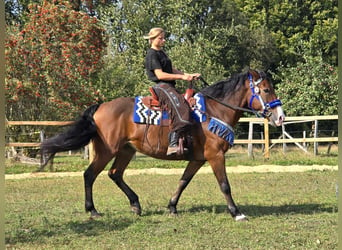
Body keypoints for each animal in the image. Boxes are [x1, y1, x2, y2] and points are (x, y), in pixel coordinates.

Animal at [41, 69, 284, 222]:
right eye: (265, 90)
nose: (280, 117)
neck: (214, 111)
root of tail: (100, 107)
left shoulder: (198, 159)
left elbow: (183, 181)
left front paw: (172, 207)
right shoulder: (215, 156)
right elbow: (225, 185)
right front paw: (236, 213)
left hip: (126, 151)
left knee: (115, 174)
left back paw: (135, 204)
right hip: (106, 150)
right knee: (90, 175)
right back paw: (93, 210)